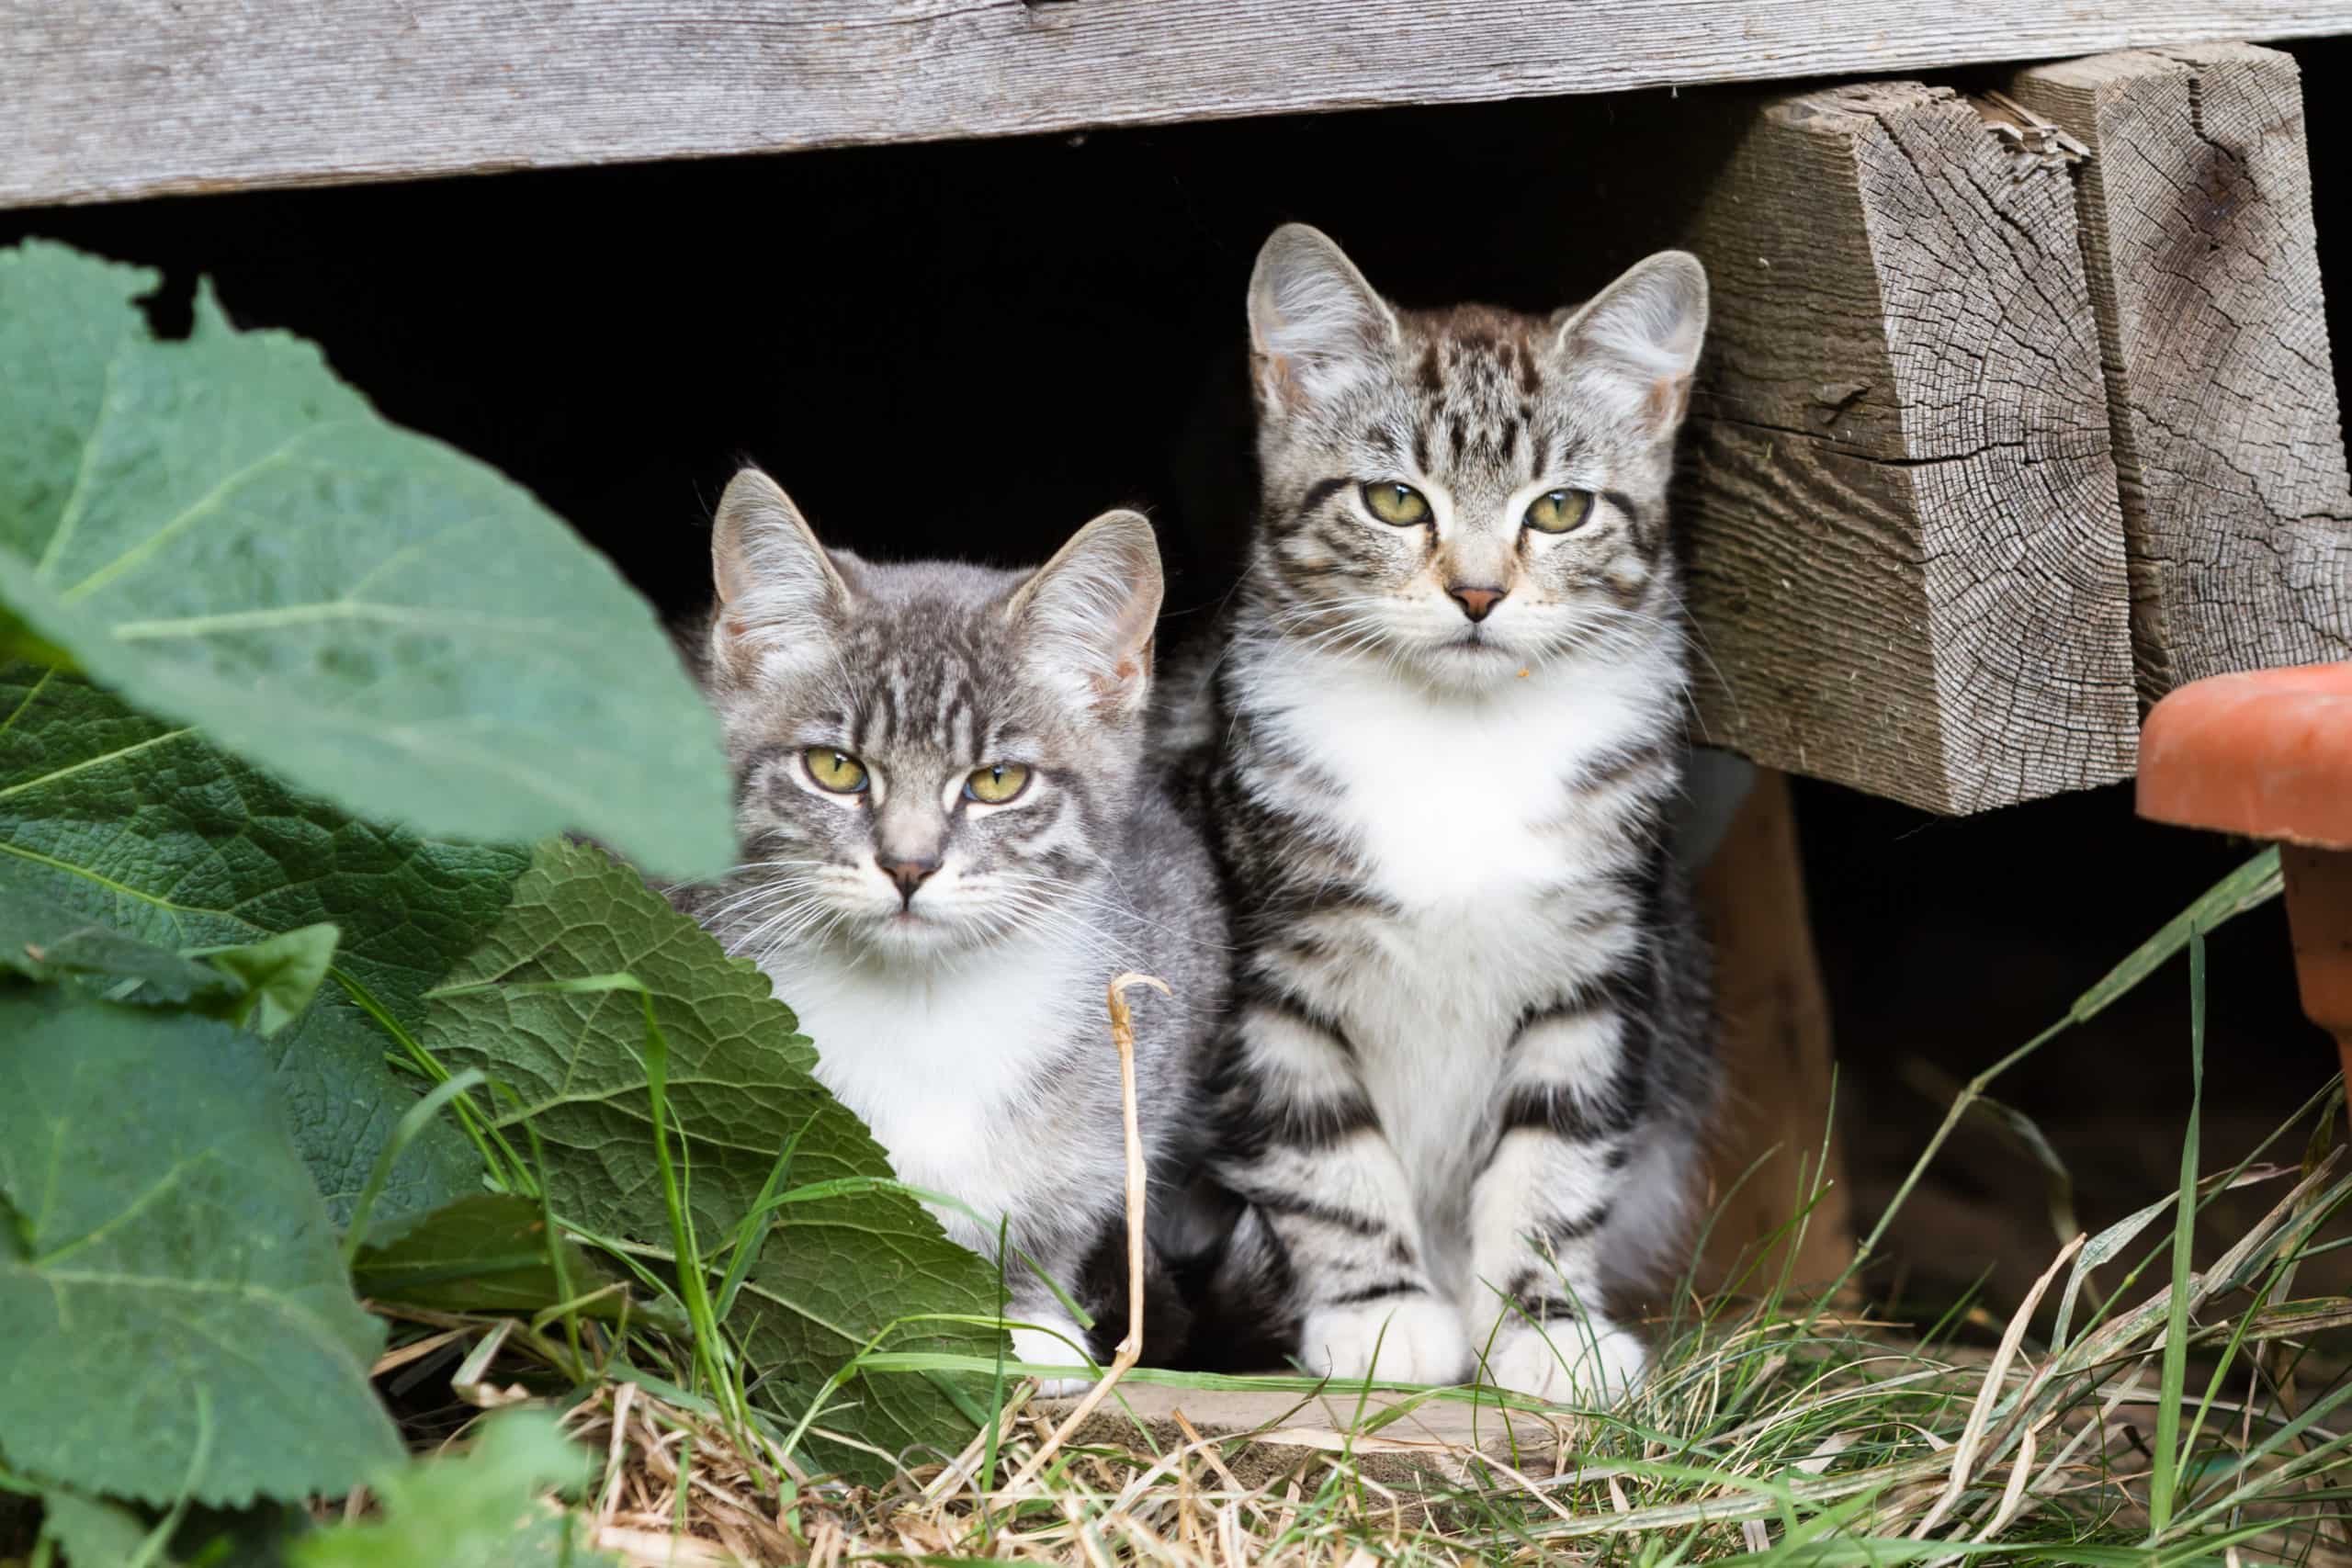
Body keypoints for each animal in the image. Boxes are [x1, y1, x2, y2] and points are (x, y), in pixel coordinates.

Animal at [677, 465, 1232, 1382]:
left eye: (998, 780)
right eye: (836, 768)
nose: (908, 865)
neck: (924, 1004)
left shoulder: (1159, 1013)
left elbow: (1062, 1206)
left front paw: (1036, 1328)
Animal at [1166, 220, 1721, 1401]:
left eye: (1559, 508)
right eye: (1393, 501)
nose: (1476, 593)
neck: (1458, 742)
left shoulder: (1596, 968)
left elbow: (1553, 1153)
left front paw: (1547, 1325)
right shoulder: (1265, 971)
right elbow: (1320, 1148)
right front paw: (1380, 1313)